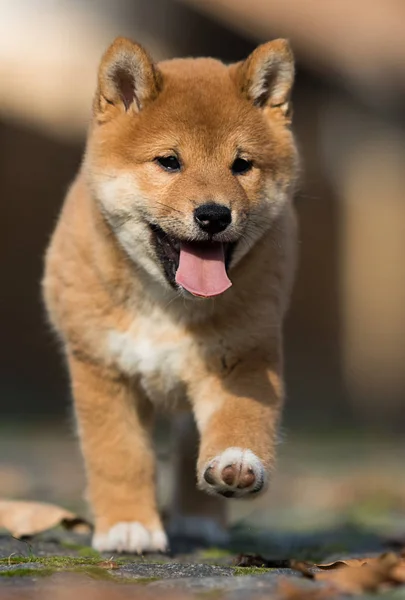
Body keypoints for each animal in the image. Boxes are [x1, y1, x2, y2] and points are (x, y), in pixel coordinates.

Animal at [42, 36, 298, 552]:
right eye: (169, 161)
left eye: (241, 165)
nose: (214, 214)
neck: (168, 305)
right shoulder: (103, 370)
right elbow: (119, 457)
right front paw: (128, 526)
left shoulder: (243, 357)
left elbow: (241, 421)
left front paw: (237, 463)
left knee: (186, 442)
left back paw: (199, 518)